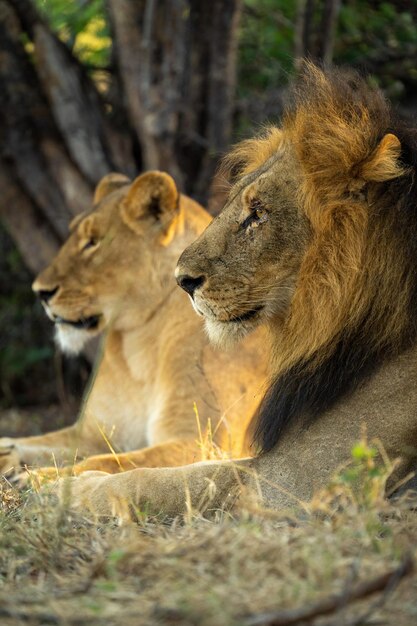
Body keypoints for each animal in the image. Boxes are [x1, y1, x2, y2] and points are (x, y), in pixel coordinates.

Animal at [0, 171, 266, 472]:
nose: (40, 293)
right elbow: (40, 444)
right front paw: (9, 455)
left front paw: (36, 478)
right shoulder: (92, 433)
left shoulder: (200, 442)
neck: (138, 346)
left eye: (93, 241)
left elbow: (108, 463)